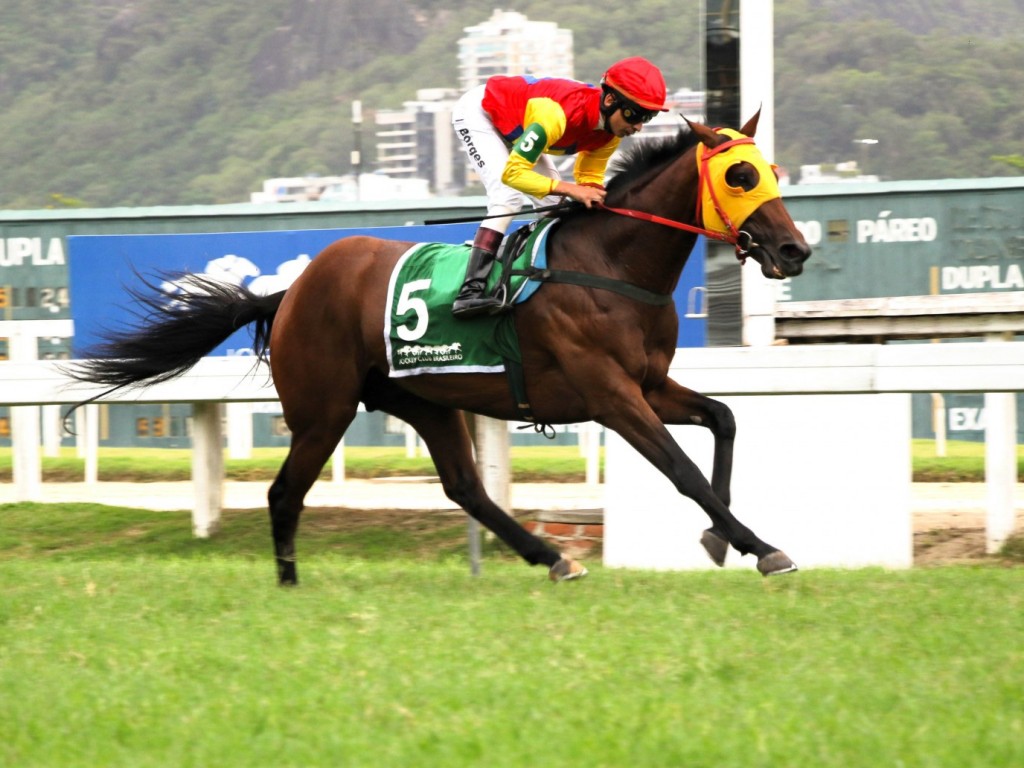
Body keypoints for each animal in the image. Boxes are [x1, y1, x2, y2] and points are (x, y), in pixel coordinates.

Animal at [68, 112, 811, 581]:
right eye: (741, 177)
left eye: (772, 171)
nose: (793, 250)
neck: (610, 265)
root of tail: (291, 292)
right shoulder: (610, 394)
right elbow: (681, 470)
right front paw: (762, 546)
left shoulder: (650, 384)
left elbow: (724, 419)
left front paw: (720, 538)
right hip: (323, 409)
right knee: (284, 492)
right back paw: (288, 583)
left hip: (424, 400)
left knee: (465, 487)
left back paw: (554, 559)